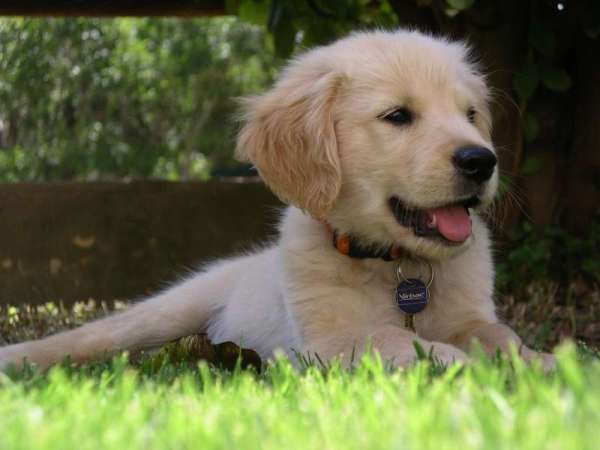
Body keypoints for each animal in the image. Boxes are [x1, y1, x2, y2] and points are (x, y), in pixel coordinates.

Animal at [0, 30, 555, 372]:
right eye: (398, 116)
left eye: (470, 114)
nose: (481, 161)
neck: (399, 267)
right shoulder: (327, 341)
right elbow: (390, 337)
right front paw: (450, 362)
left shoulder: (469, 316)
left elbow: (498, 334)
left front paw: (541, 362)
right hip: (164, 312)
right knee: (90, 340)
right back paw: (19, 357)